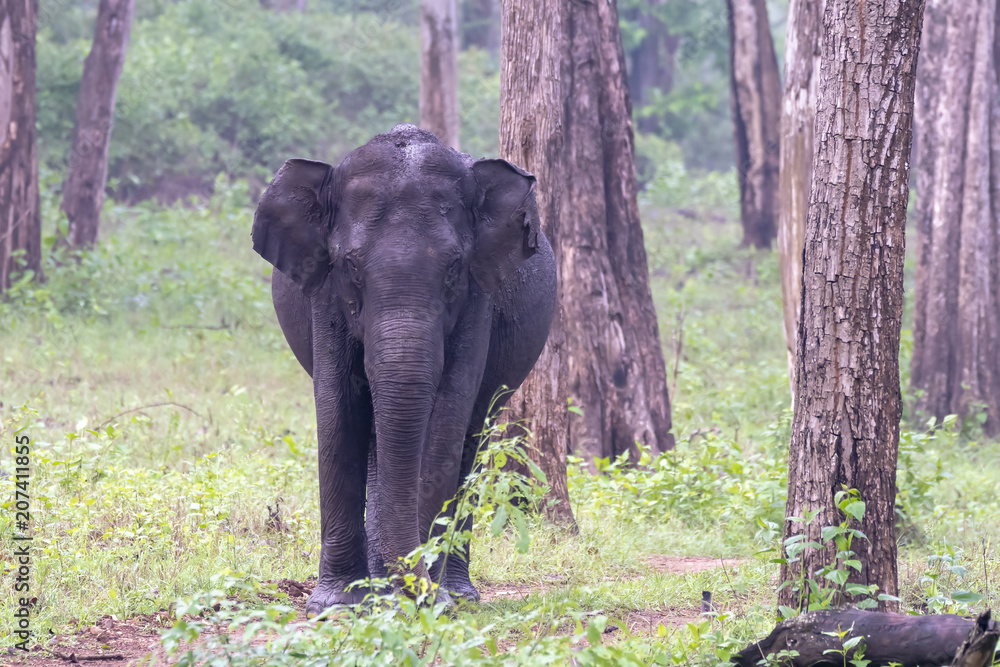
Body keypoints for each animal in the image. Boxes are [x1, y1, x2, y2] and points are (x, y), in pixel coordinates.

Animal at [251, 124, 556, 614]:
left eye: (453, 268)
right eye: (350, 265)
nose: (417, 591)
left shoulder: (478, 294)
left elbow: (447, 417)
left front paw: (429, 601)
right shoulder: (324, 291)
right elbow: (338, 408)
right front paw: (334, 605)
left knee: (470, 439)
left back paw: (452, 592)